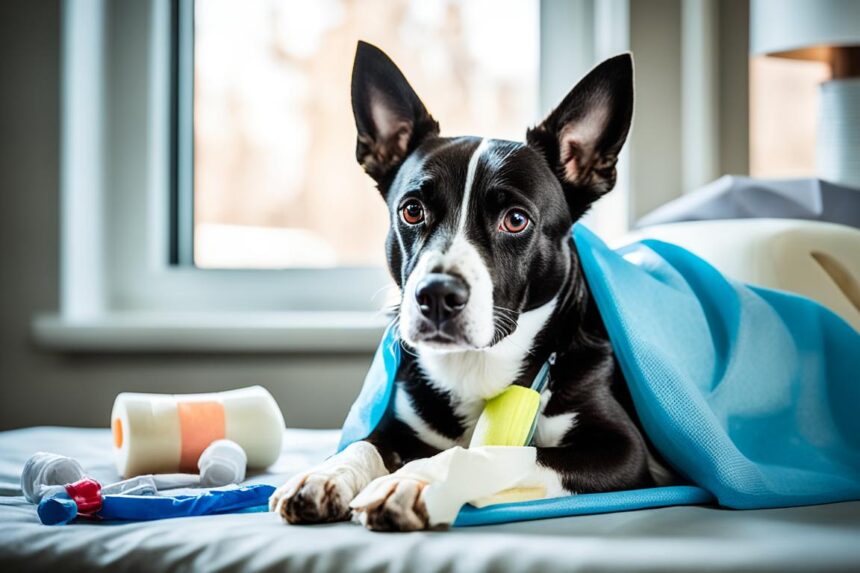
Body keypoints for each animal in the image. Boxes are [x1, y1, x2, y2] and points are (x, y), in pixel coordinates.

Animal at [272, 41, 668, 532]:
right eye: (412, 210)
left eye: (515, 220)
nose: (437, 295)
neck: (476, 365)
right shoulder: (399, 424)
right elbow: (365, 442)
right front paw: (326, 474)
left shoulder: (621, 453)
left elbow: (497, 452)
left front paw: (416, 480)